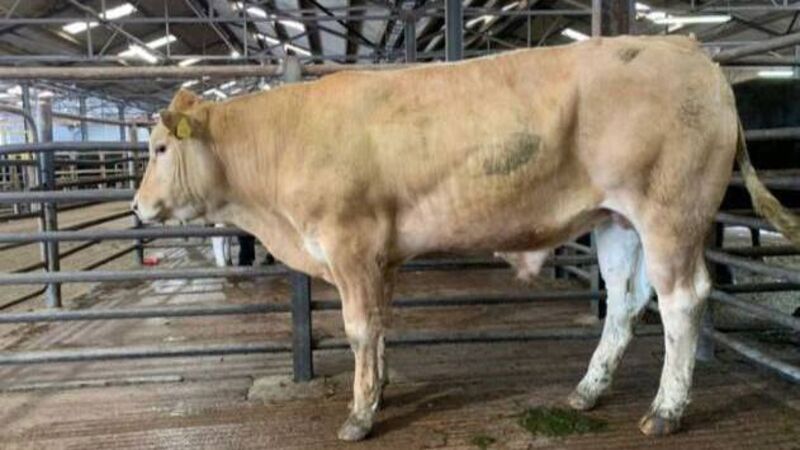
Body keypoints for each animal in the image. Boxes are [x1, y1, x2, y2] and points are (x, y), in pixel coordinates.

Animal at [131, 35, 800, 441]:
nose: (137, 207)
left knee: (682, 300)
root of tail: (690, 50)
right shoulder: (380, 257)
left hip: (671, 214)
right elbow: (380, 328)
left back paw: (664, 410)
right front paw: (381, 389)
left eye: (160, 147)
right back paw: (587, 391)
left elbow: (358, 329)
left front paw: (359, 414)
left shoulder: (350, 242)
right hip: (617, 221)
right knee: (626, 300)